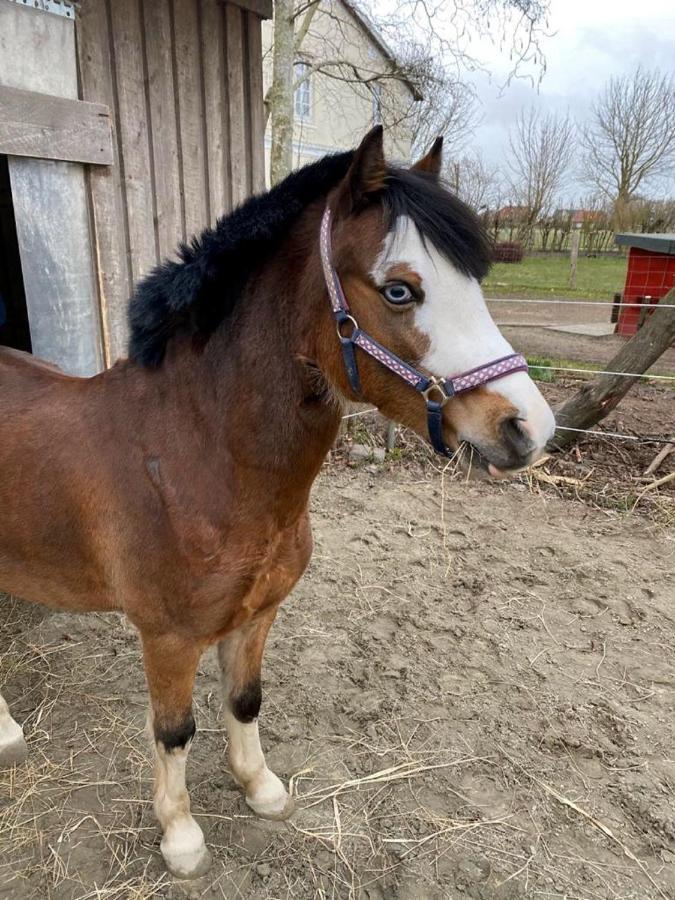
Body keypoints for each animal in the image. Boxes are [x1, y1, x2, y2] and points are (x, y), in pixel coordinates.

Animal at [0, 130, 556, 876]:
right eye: (400, 289)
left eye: (475, 284)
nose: (529, 428)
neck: (194, 456)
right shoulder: (168, 638)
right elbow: (174, 731)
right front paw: (181, 837)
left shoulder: (258, 613)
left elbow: (244, 700)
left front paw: (261, 788)